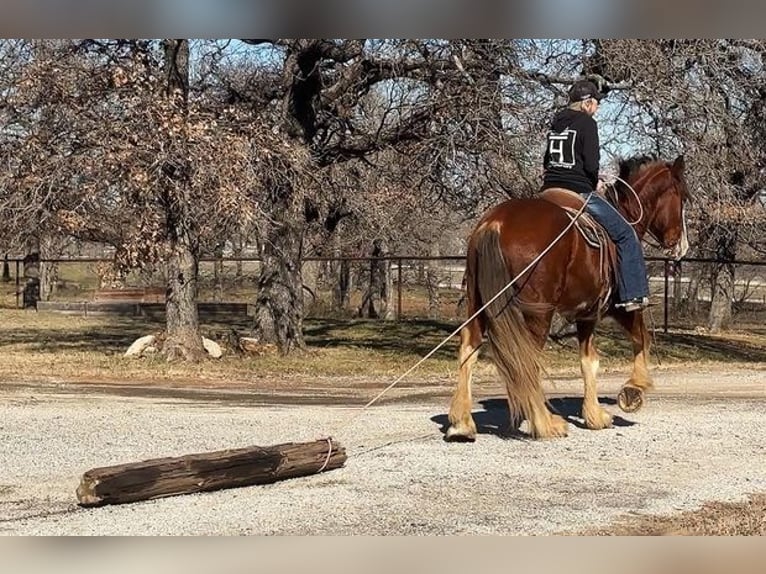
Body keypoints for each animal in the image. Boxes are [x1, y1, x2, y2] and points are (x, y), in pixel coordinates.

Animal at [448, 155, 692, 444]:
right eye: (682, 196)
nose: (681, 245)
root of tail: (496, 223)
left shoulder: (584, 314)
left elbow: (589, 361)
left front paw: (595, 415)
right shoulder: (617, 308)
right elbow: (641, 338)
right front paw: (633, 391)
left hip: (479, 304)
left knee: (469, 348)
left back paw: (462, 424)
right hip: (538, 314)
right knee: (528, 360)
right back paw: (545, 423)